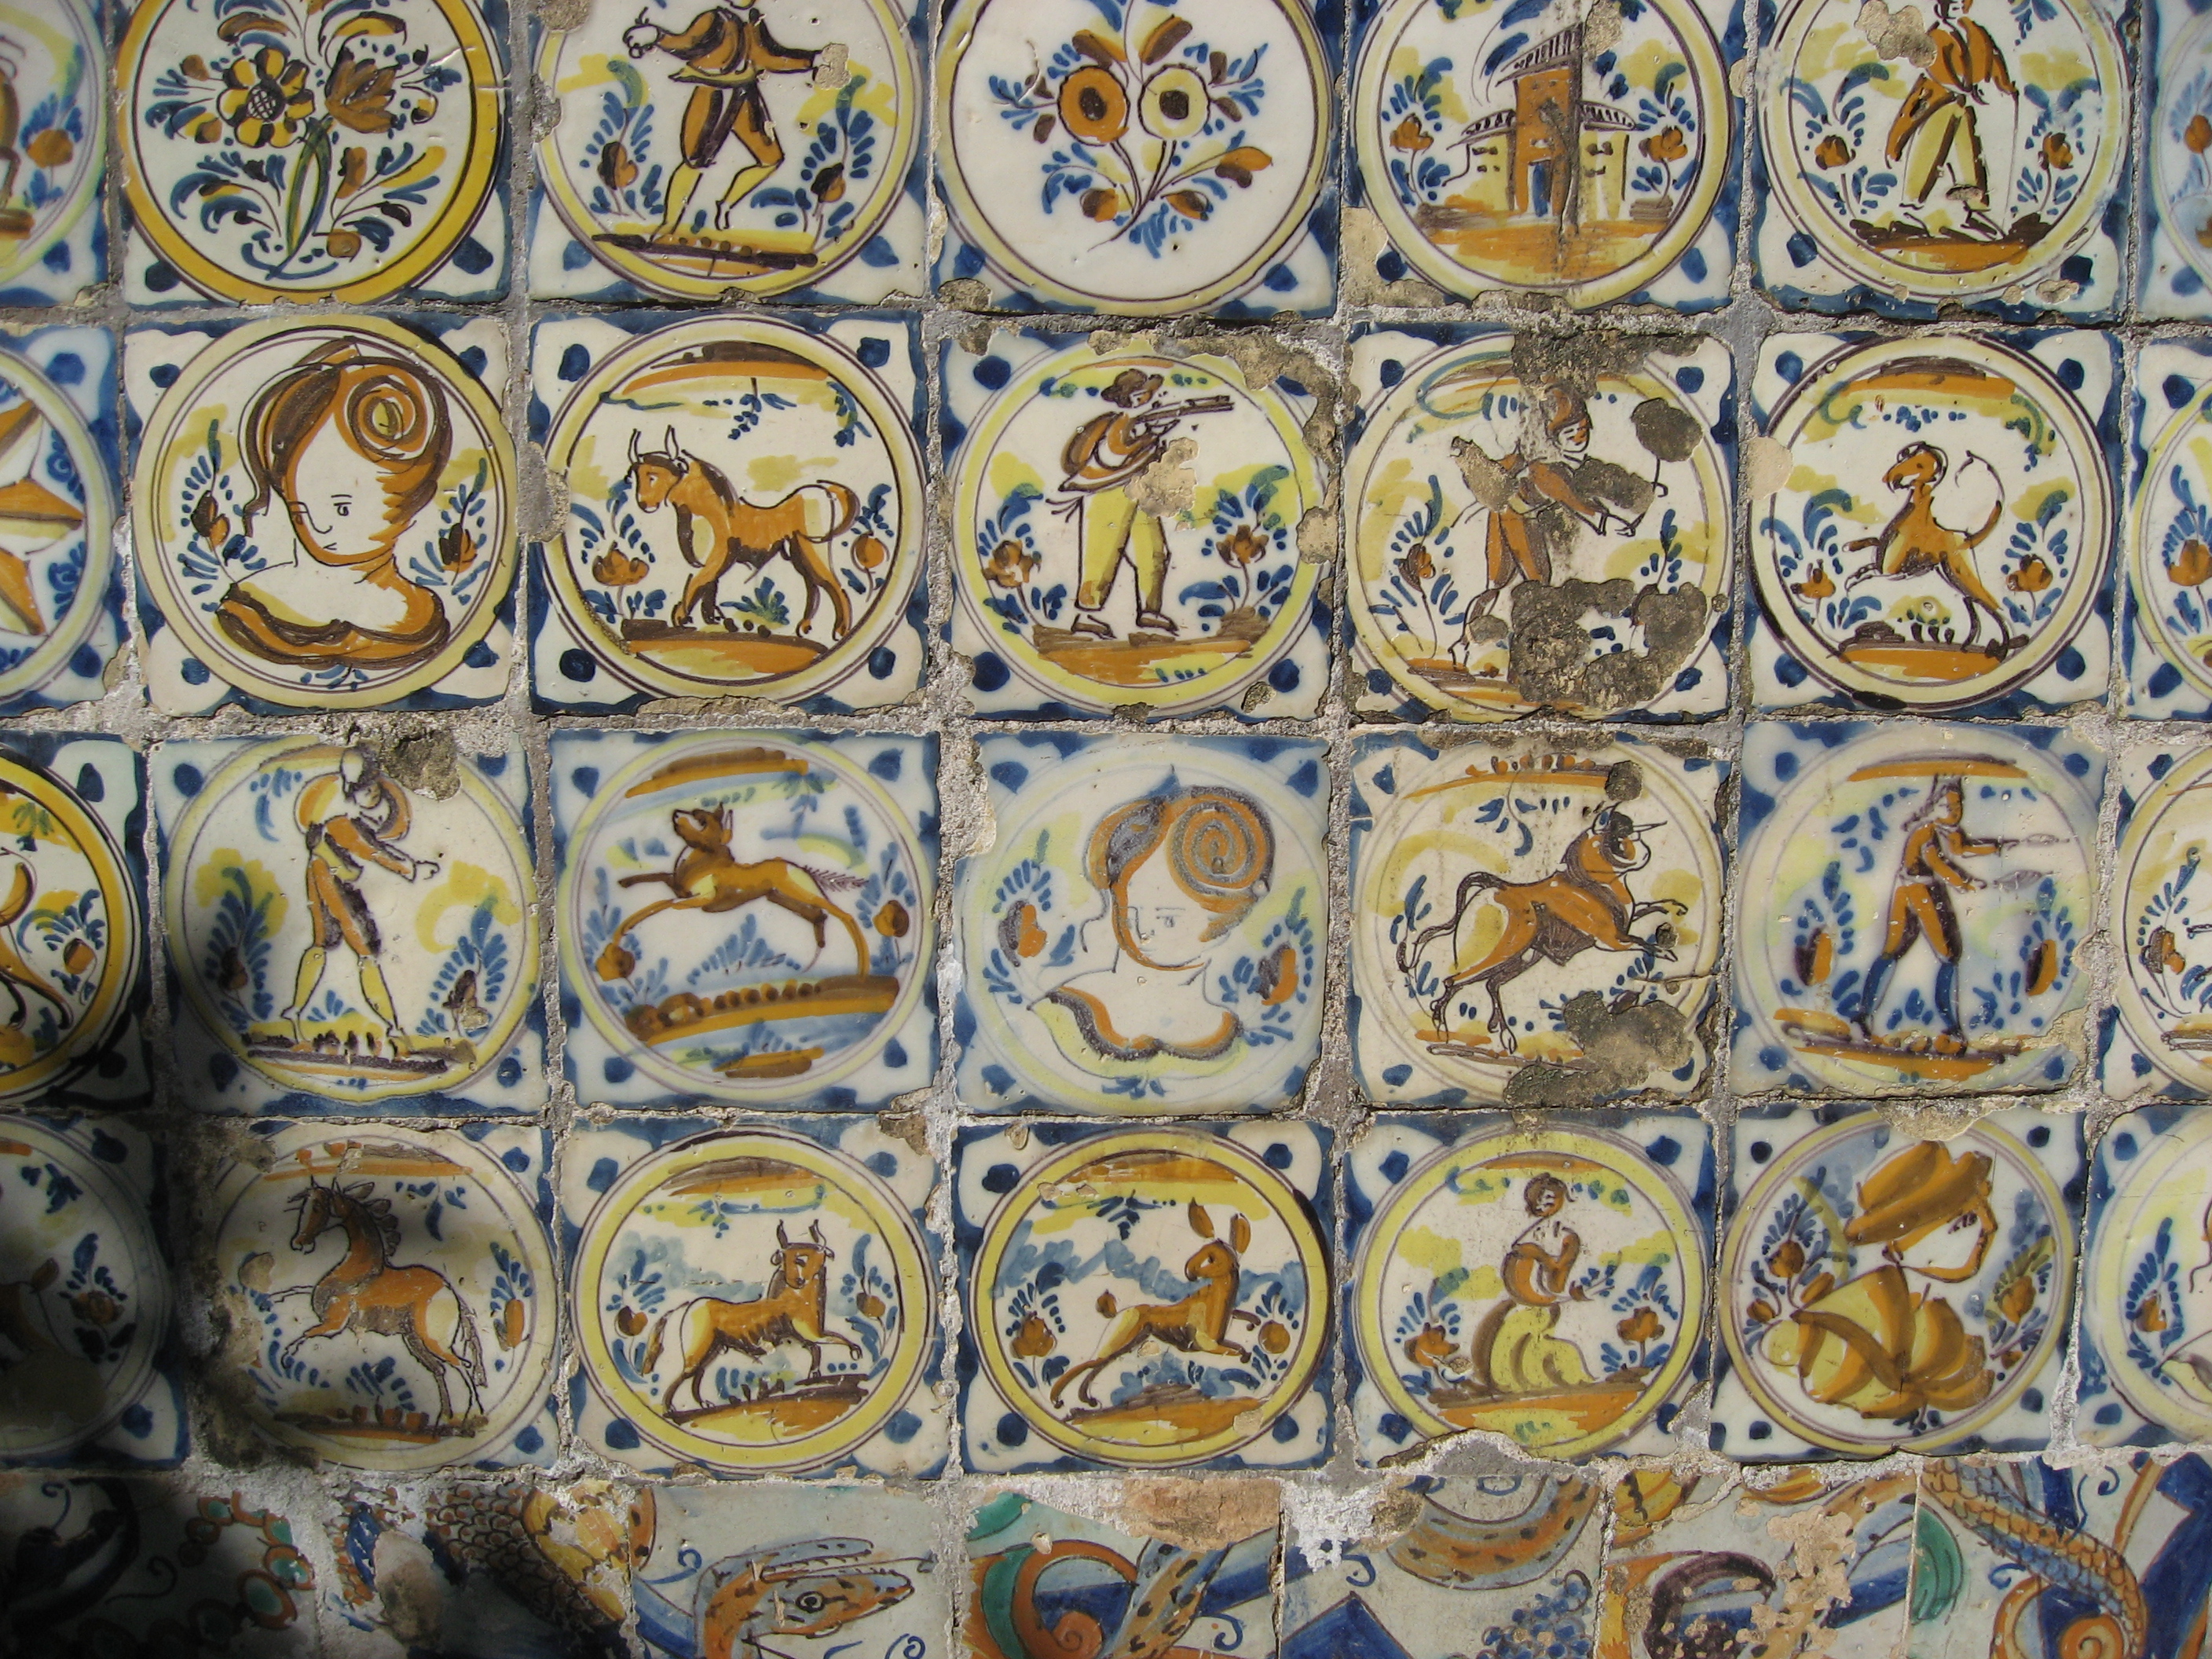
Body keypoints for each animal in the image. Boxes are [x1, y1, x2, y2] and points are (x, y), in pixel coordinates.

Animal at [271, 1176, 487, 1422]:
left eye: (317, 1207)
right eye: (302, 1206)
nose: (298, 1242)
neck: (360, 1270)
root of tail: (450, 1291)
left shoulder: (335, 1324)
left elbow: (306, 1333)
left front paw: (287, 1355)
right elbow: (300, 1289)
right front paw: (274, 1298)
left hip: (433, 1340)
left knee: (461, 1365)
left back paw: (470, 1413)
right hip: (413, 1340)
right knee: (439, 1369)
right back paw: (443, 1416)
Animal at [625, 428, 858, 640]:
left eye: (653, 476)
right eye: (637, 476)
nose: (644, 504)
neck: (711, 510)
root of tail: (824, 491)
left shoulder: (718, 556)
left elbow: (697, 583)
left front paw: (681, 616)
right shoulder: (710, 561)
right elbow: (709, 589)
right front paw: (712, 621)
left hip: (813, 547)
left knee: (833, 583)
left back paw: (840, 630)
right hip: (798, 551)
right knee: (813, 584)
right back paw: (805, 627)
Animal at [1395, 804, 1686, 1051]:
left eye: (1637, 837)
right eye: (1617, 841)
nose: (1646, 855)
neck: (1589, 885)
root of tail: (1498, 887)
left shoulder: (1623, 927)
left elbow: (1650, 907)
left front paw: (1674, 908)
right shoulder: (1610, 941)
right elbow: (1641, 941)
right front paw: (1666, 951)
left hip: (1525, 957)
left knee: (1488, 983)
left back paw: (1500, 1033)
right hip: (1504, 950)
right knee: (1456, 980)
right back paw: (1444, 1030)